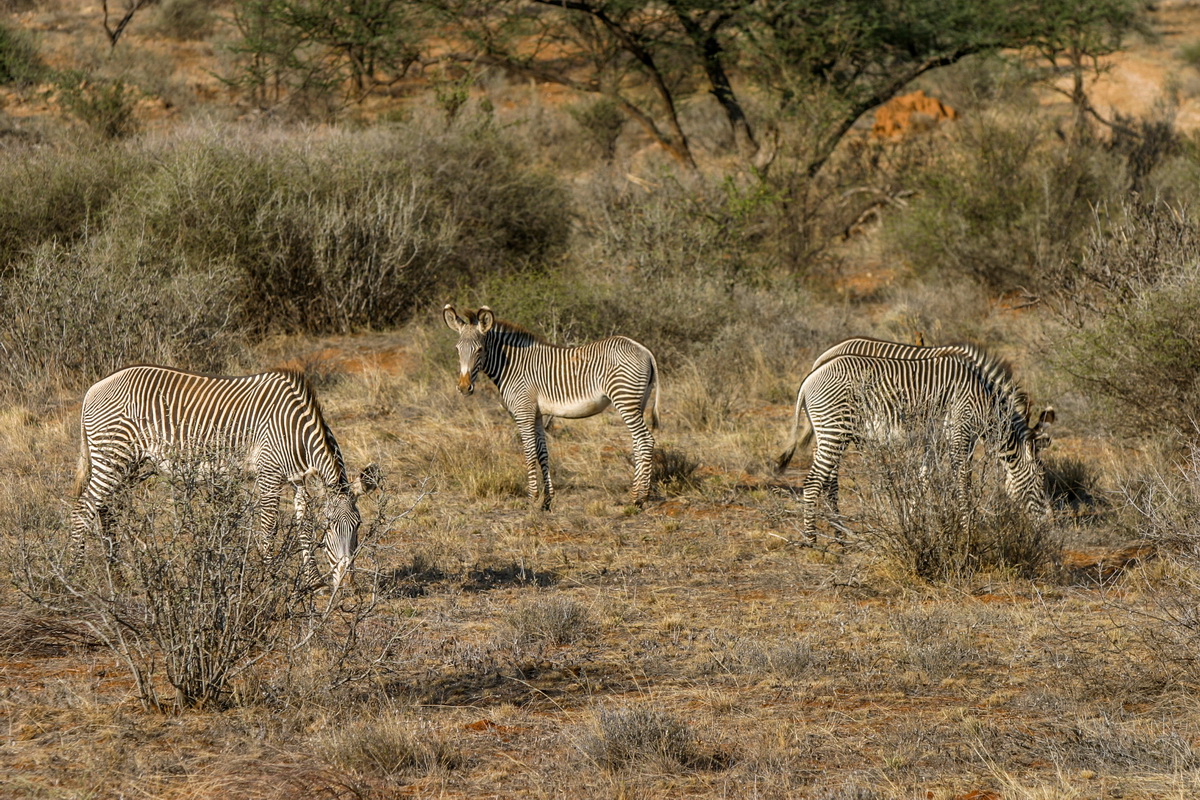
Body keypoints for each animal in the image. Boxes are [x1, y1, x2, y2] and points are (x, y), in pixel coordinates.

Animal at [69, 367, 374, 592]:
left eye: (358, 525)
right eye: (329, 526)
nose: (347, 584)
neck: (295, 430)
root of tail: (94, 387)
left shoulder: (299, 479)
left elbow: (303, 528)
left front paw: (312, 581)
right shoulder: (269, 474)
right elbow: (268, 528)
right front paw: (272, 578)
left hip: (129, 464)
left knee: (105, 510)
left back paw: (118, 578)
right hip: (113, 457)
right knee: (83, 509)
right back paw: (74, 576)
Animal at [446, 303, 662, 510]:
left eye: (480, 349)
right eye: (456, 349)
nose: (464, 387)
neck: (512, 366)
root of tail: (644, 350)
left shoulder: (523, 411)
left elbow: (529, 452)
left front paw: (531, 499)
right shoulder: (537, 414)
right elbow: (542, 453)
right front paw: (546, 501)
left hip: (624, 398)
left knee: (645, 440)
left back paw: (639, 498)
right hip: (637, 401)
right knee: (637, 442)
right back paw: (637, 494)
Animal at [777, 347, 1051, 542]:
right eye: (1040, 479)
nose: (1046, 528)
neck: (983, 398)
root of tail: (811, 377)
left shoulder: (938, 438)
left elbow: (925, 478)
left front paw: (918, 520)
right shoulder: (960, 431)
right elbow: (963, 481)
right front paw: (967, 530)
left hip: (830, 432)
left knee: (827, 480)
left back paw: (839, 535)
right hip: (834, 430)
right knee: (813, 482)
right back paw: (813, 541)